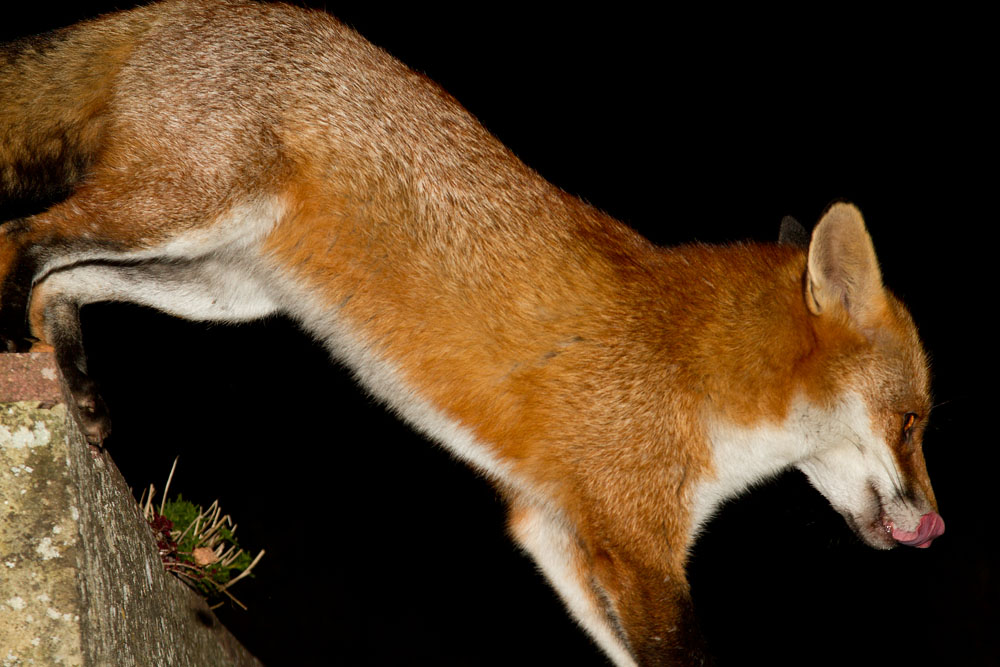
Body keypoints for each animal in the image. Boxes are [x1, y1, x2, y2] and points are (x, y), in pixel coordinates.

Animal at [0, 2, 944, 664]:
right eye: (913, 421)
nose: (935, 526)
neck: (698, 374)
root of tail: (203, 4)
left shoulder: (556, 529)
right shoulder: (638, 544)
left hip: (216, 284)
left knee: (61, 279)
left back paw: (70, 383)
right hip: (183, 210)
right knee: (20, 239)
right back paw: (14, 351)